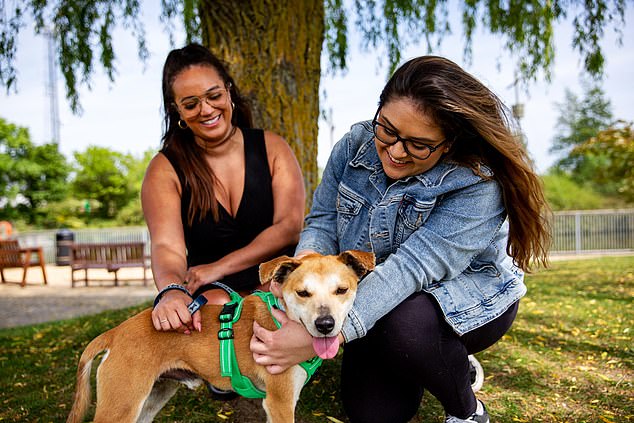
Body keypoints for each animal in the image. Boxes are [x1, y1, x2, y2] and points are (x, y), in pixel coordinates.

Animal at [68, 252, 376, 423]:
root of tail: (116, 332)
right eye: (303, 293)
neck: (283, 316)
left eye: (342, 290)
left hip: (152, 396)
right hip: (121, 404)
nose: (325, 325)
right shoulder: (279, 403)